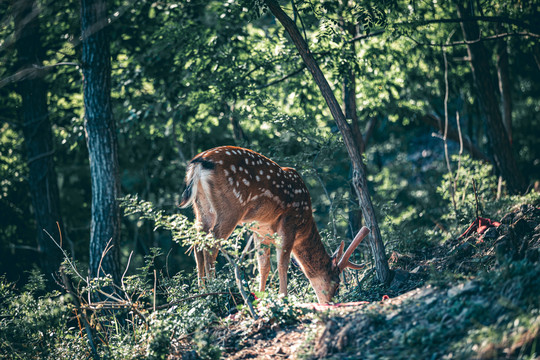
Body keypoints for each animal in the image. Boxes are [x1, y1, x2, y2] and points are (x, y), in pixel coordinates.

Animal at [179, 146, 370, 304]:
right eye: (337, 283)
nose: (330, 303)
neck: (305, 225)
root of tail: (199, 163)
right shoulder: (290, 222)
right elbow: (282, 264)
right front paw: (283, 297)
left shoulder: (260, 230)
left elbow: (263, 266)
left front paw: (261, 297)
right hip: (230, 209)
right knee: (211, 245)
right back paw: (213, 287)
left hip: (202, 209)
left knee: (197, 243)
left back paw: (201, 291)